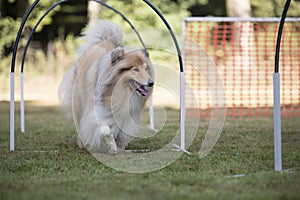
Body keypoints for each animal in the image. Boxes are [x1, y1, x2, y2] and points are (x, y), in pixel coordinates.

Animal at [58, 19, 154, 154]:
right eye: (135, 69)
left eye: (146, 69)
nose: (151, 83)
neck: (122, 91)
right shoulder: (96, 112)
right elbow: (105, 130)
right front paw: (111, 146)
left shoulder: (125, 115)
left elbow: (120, 132)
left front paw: (119, 146)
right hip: (78, 103)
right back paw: (82, 143)